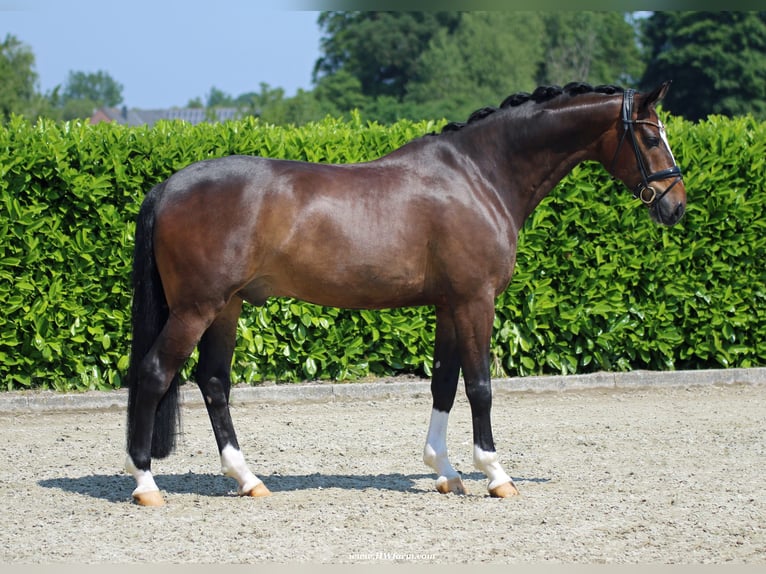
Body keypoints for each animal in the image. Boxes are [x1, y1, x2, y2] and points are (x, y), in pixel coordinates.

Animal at [123, 82, 688, 508]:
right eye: (650, 136)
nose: (676, 205)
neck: (479, 175)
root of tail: (168, 186)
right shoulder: (475, 300)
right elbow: (480, 385)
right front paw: (495, 473)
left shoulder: (448, 305)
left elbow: (443, 383)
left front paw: (445, 470)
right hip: (197, 308)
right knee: (154, 374)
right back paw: (146, 484)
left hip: (228, 306)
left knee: (214, 382)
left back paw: (248, 479)